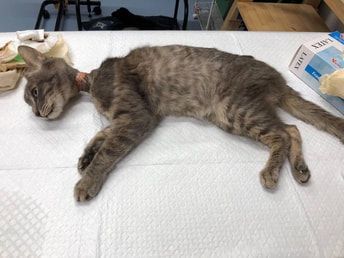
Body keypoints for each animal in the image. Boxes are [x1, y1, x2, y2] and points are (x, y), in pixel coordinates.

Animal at [18, 44, 344, 202]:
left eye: (33, 93)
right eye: (28, 101)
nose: (36, 115)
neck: (91, 81)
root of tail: (278, 79)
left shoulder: (137, 116)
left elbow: (108, 150)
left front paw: (88, 180)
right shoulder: (125, 118)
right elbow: (101, 135)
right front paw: (86, 157)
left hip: (234, 109)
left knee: (283, 134)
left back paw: (272, 173)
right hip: (241, 113)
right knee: (292, 129)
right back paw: (299, 169)